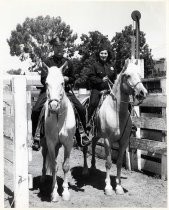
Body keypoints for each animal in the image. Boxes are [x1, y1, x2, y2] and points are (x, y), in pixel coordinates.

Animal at [40, 62, 75, 202]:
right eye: (46, 83)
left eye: (62, 83)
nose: (53, 106)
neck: (59, 119)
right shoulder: (50, 143)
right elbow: (55, 166)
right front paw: (54, 193)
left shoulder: (68, 143)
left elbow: (65, 166)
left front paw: (65, 192)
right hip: (45, 144)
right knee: (45, 157)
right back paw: (43, 177)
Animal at [82, 58, 147, 195]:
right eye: (127, 75)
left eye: (140, 75)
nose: (143, 93)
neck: (116, 111)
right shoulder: (107, 140)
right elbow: (108, 163)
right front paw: (108, 187)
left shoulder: (123, 141)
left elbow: (118, 163)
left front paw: (118, 187)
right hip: (86, 133)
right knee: (85, 149)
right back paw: (85, 170)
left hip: (96, 135)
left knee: (94, 145)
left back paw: (93, 166)